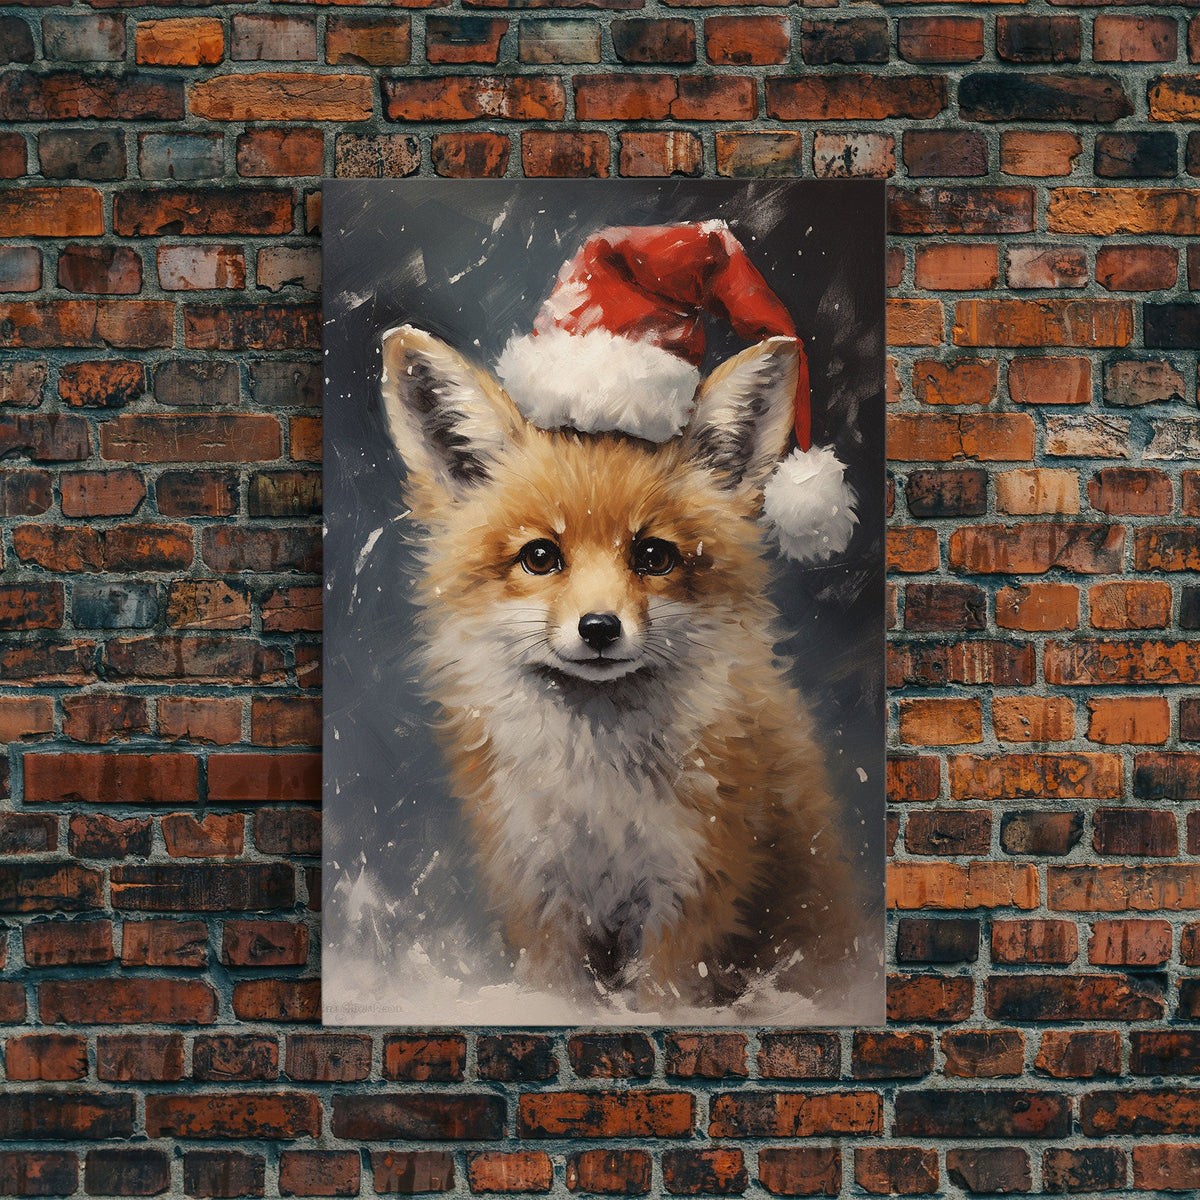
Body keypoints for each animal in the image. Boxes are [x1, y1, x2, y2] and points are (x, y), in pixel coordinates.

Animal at [379, 323, 861, 1011]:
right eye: (540, 556)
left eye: (653, 556)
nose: (600, 628)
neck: (597, 798)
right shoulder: (540, 896)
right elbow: (557, 994)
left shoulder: (693, 891)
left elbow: (663, 1001)